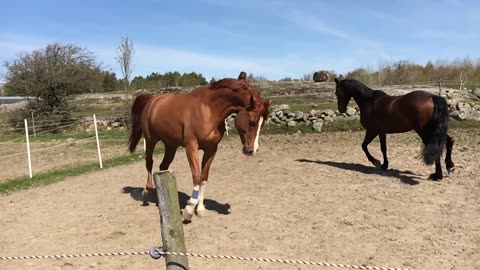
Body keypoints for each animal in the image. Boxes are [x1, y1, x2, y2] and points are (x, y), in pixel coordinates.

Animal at [128, 73, 270, 219]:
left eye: (263, 123)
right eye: (252, 122)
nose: (252, 150)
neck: (209, 110)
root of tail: (152, 99)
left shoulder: (212, 149)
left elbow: (204, 177)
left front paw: (200, 208)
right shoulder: (191, 146)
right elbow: (196, 175)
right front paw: (189, 208)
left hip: (171, 145)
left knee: (163, 166)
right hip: (151, 140)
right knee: (149, 163)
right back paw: (147, 191)